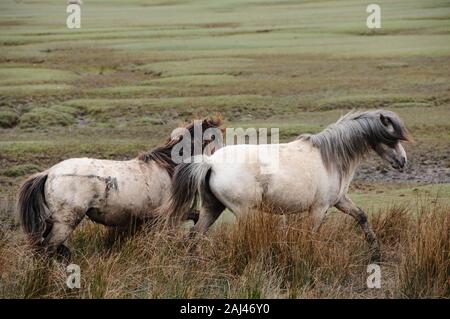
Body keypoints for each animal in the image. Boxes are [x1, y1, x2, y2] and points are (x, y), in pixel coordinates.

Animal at [17, 117, 221, 260]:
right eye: (215, 137)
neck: (167, 167)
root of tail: (49, 173)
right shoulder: (168, 217)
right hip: (64, 224)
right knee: (46, 250)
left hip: (52, 223)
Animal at [166, 110, 412, 262]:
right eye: (391, 138)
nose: (403, 161)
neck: (330, 156)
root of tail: (210, 162)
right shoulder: (320, 208)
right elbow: (311, 235)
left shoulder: (339, 201)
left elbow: (361, 216)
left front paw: (376, 253)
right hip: (244, 211)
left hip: (212, 207)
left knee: (194, 236)